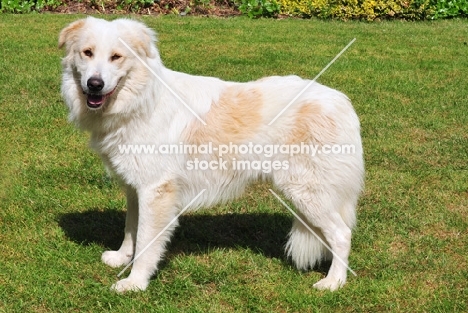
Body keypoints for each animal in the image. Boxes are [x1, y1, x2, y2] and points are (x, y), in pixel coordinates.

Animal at [59, 17, 366, 292]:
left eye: (116, 57)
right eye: (87, 53)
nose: (94, 84)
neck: (141, 101)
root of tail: (341, 102)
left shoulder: (155, 192)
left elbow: (147, 241)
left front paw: (135, 283)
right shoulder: (136, 189)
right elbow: (131, 228)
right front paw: (121, 257)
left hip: (307, 192)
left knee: (342, 235)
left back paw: (334, 282)